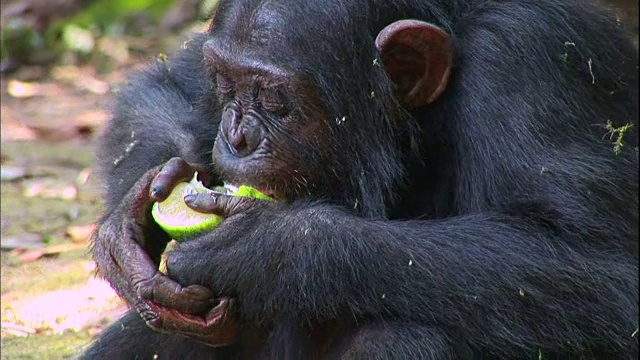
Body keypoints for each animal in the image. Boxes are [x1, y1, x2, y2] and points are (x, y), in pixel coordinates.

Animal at [82, 0, 636, 358]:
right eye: (225, 82)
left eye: (273, 98)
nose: (235, 135)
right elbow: (166, 83)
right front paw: (129, 230)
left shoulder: (526, 60)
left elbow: (604, 274)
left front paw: (268, 246)